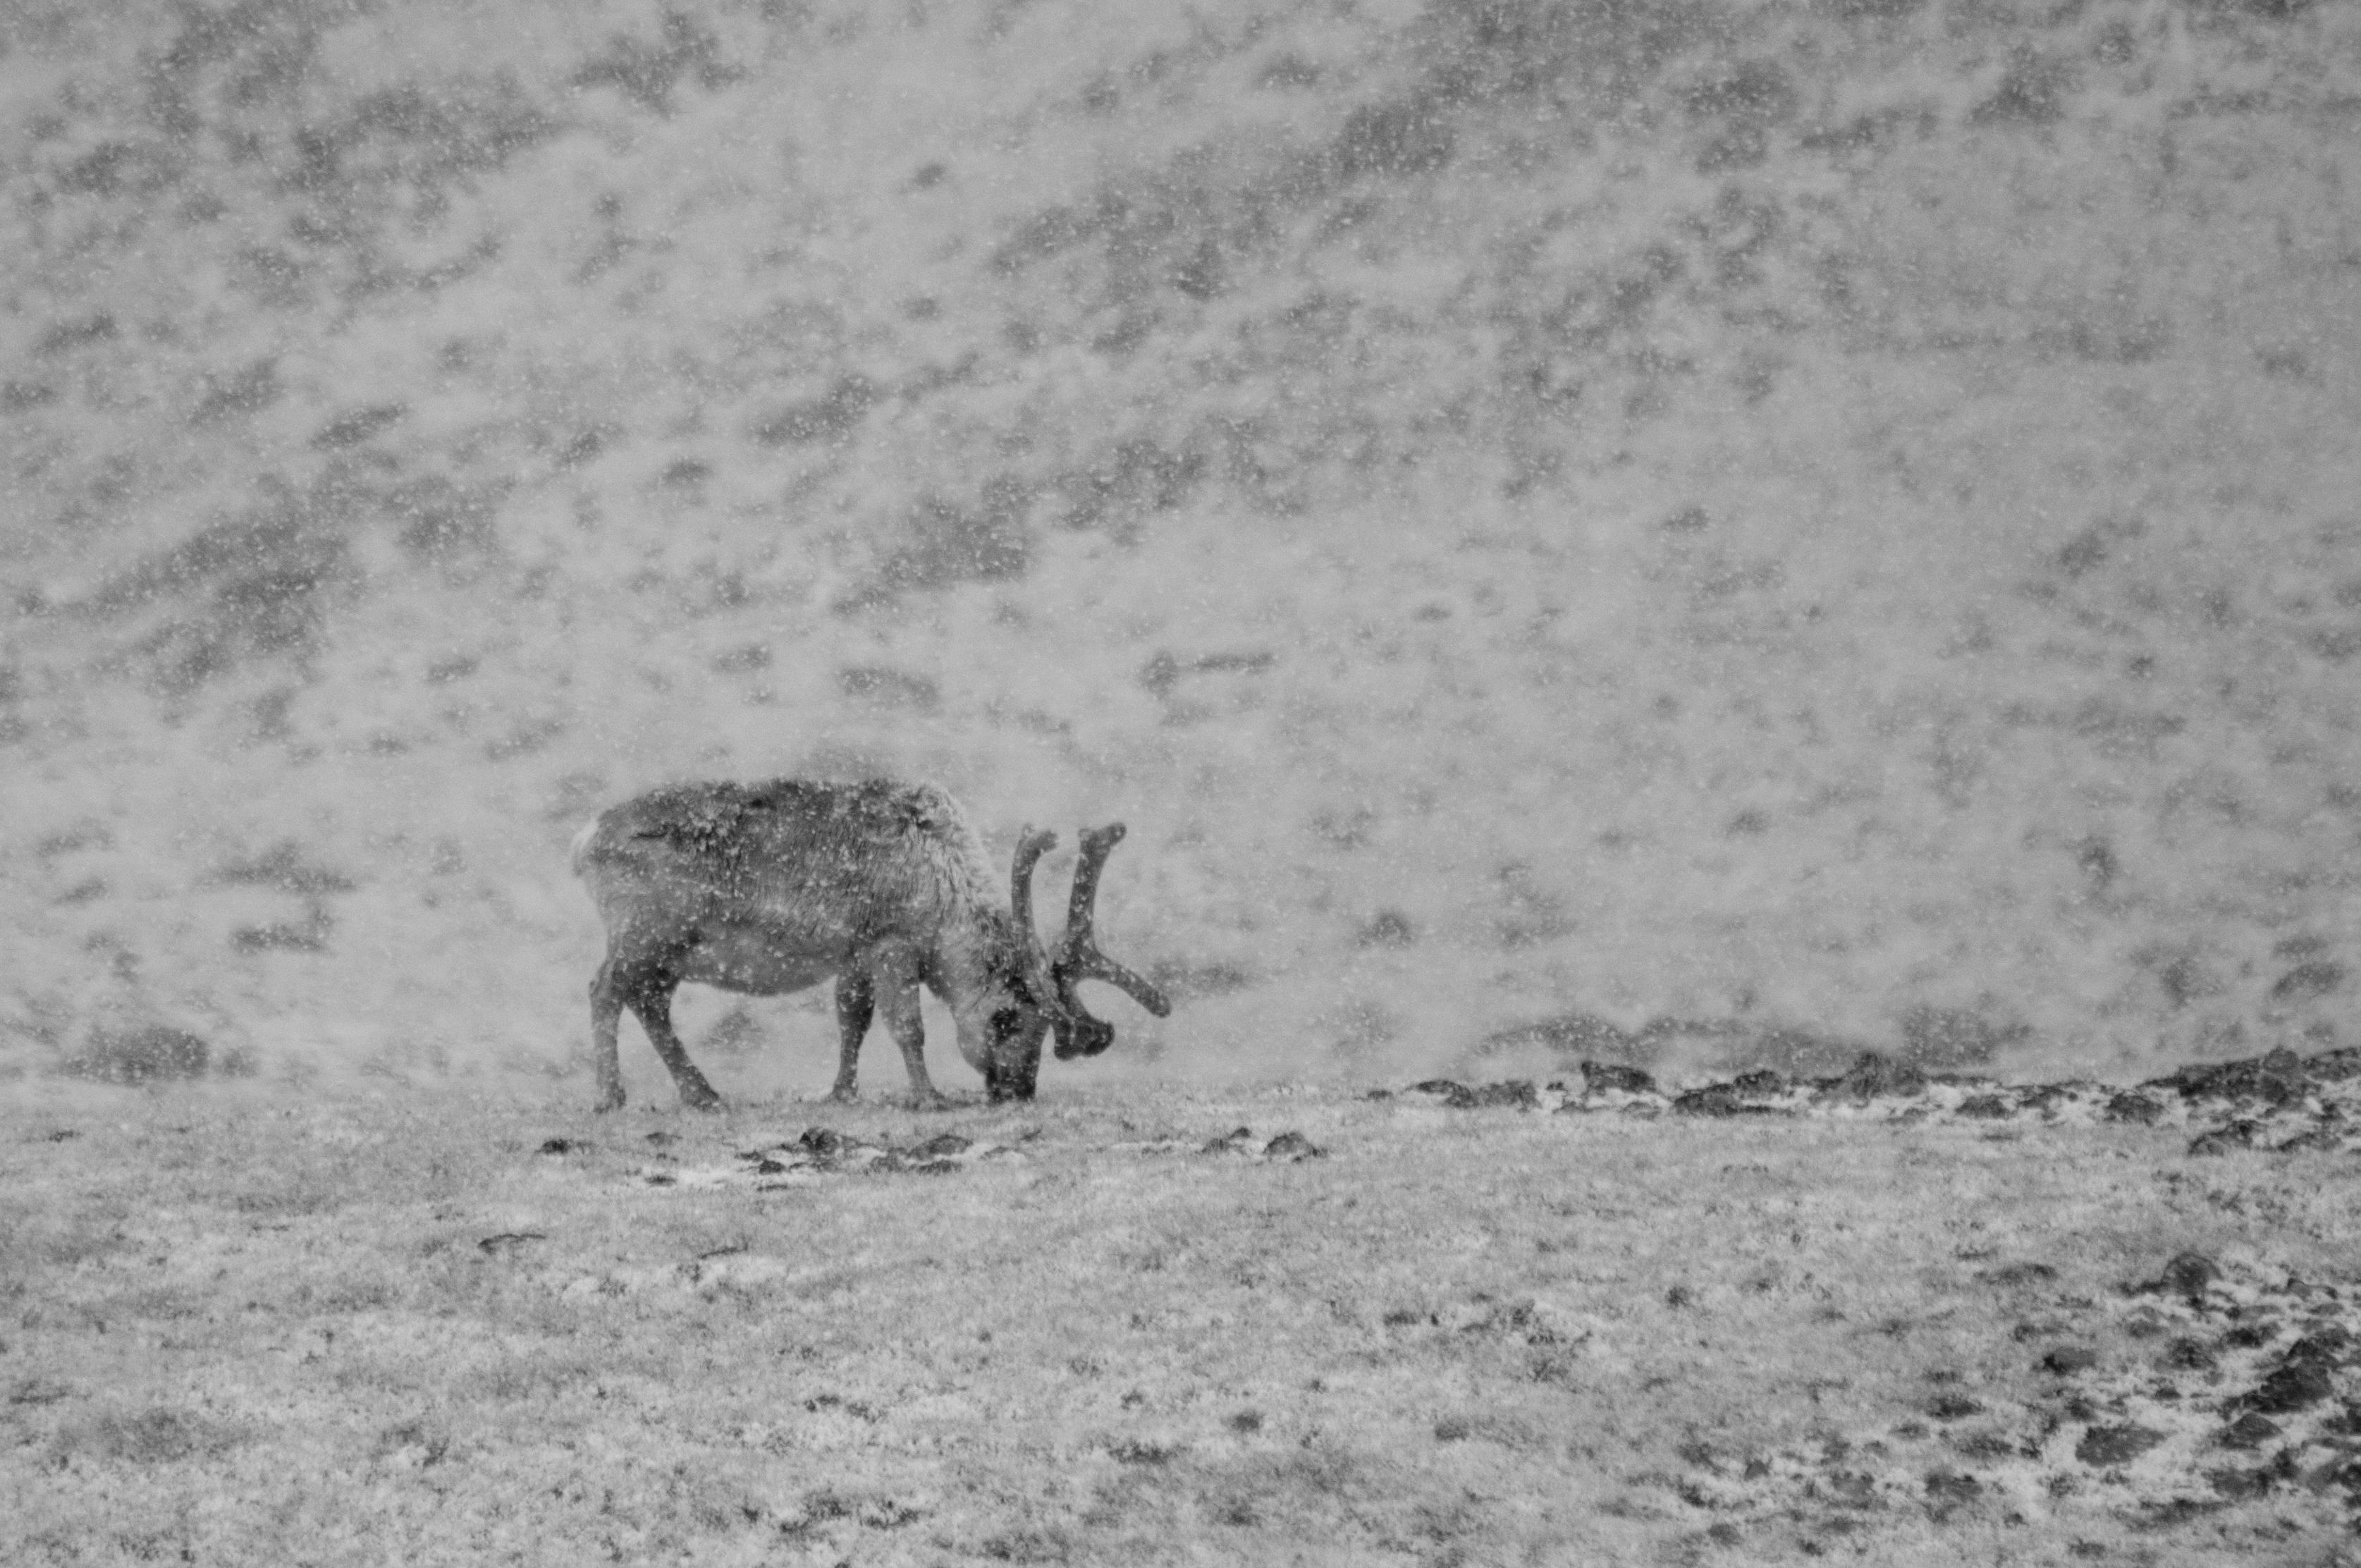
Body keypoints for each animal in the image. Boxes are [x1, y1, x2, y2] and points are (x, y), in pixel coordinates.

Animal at [569, 777, 1169, 1111]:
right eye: (1008, 1020)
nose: (1017, 1090)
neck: (944, 880)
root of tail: (583, 840)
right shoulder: (891, 944)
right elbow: (908, 1027)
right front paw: (928, 1098)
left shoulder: (855, 954)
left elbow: (851, 1020)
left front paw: (841, 1092)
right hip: (646, 934)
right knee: (604, 989)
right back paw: (610, 1097)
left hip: (666, 953)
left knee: (648, 1003)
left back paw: (702, 1095)